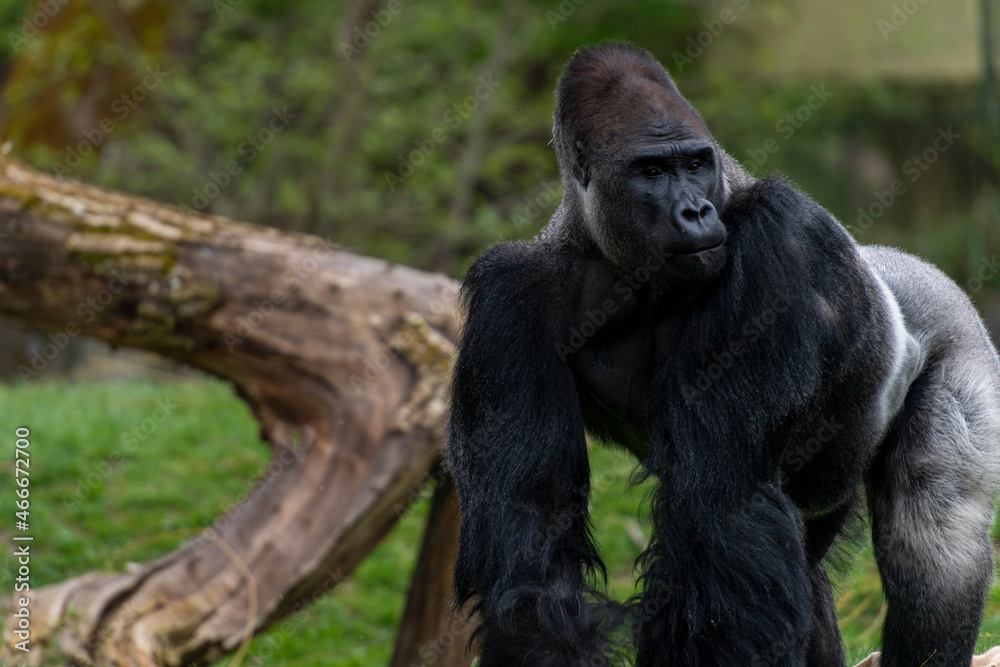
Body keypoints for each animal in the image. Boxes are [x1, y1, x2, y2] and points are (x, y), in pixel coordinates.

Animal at [446, 43, 1000, 667]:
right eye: (651, 172)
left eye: (694, 165)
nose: (695, 212)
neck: (615, 260)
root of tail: (904, 262)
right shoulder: (509, 300)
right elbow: (531, 534)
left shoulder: (777, 234)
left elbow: (722, 507)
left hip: (955, 329)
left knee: (933, 540)